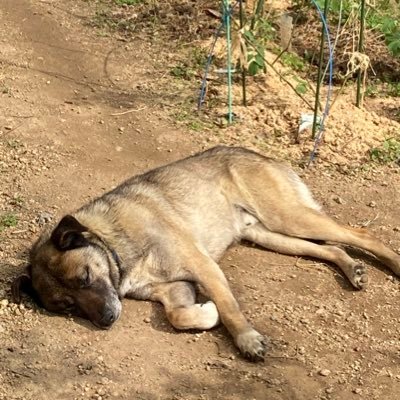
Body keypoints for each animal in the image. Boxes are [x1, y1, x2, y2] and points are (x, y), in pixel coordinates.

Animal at [10, 146, 400, 360]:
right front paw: (206, 313)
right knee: (331, 247)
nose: (106, 319)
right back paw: (352, 269)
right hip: (271, 234)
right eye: (66, 306)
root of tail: (257, 154)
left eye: (85, 278)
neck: (115, 244)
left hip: (287, 217)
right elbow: (180, 317)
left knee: (360, 234)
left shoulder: (203, 266)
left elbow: (229, 308)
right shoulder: (175, 289)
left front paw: (246, 339)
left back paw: (392, 263)